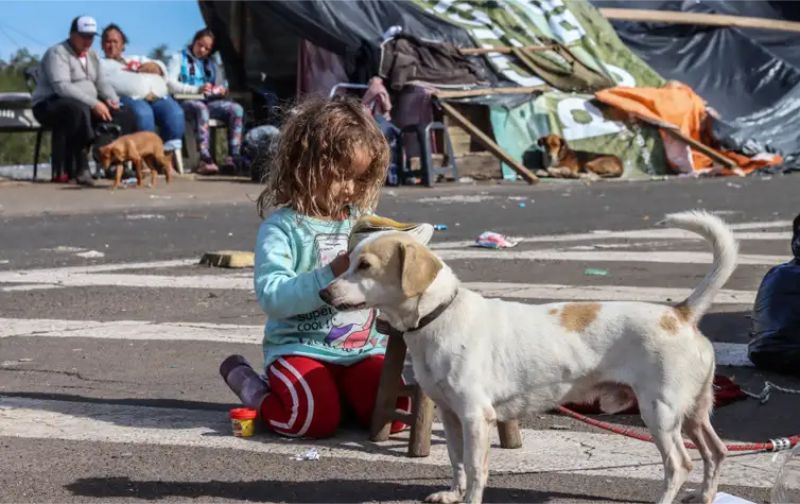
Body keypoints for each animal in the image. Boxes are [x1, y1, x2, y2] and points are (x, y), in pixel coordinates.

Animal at [318, 210, 736, 504]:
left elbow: (476, 467)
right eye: (347, 261)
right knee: (715, 452)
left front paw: (471, 499)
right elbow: (456, 461)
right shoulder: (450, 415)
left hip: (660, 413)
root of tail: (680, 313)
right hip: (693, 413)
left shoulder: (476, 417)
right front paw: (454, 494)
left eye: (365, 266)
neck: (439, 316)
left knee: (680, 464)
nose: (323, 293)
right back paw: (706, 494)